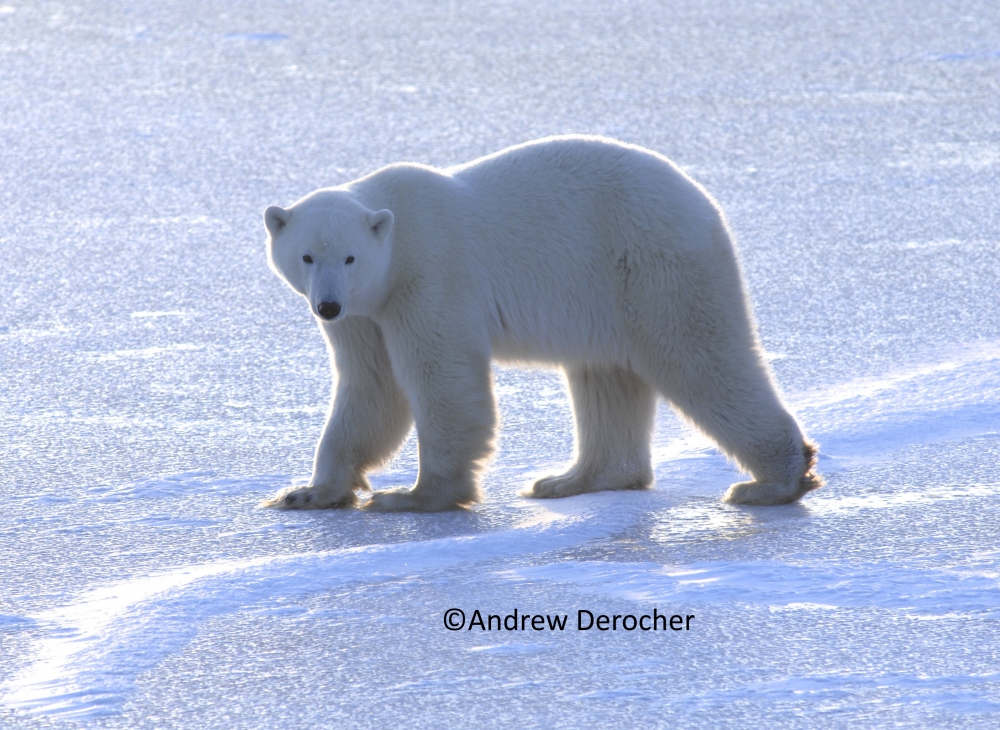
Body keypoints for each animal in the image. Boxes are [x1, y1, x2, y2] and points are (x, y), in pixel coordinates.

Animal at [262, 136, 824, 512]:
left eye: (350, 257)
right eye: (307, 256)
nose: (326, 306)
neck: (395, 234)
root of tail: (707, 205)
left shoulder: (428, 277)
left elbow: (440, 380)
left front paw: (415, 495)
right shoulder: (366, 313)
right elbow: (371, 387)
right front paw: (307, 492)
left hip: (651, 266)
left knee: (700, 358)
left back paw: (772, 481)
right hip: (605, 297)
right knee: (605, 378)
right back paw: (568, 480)